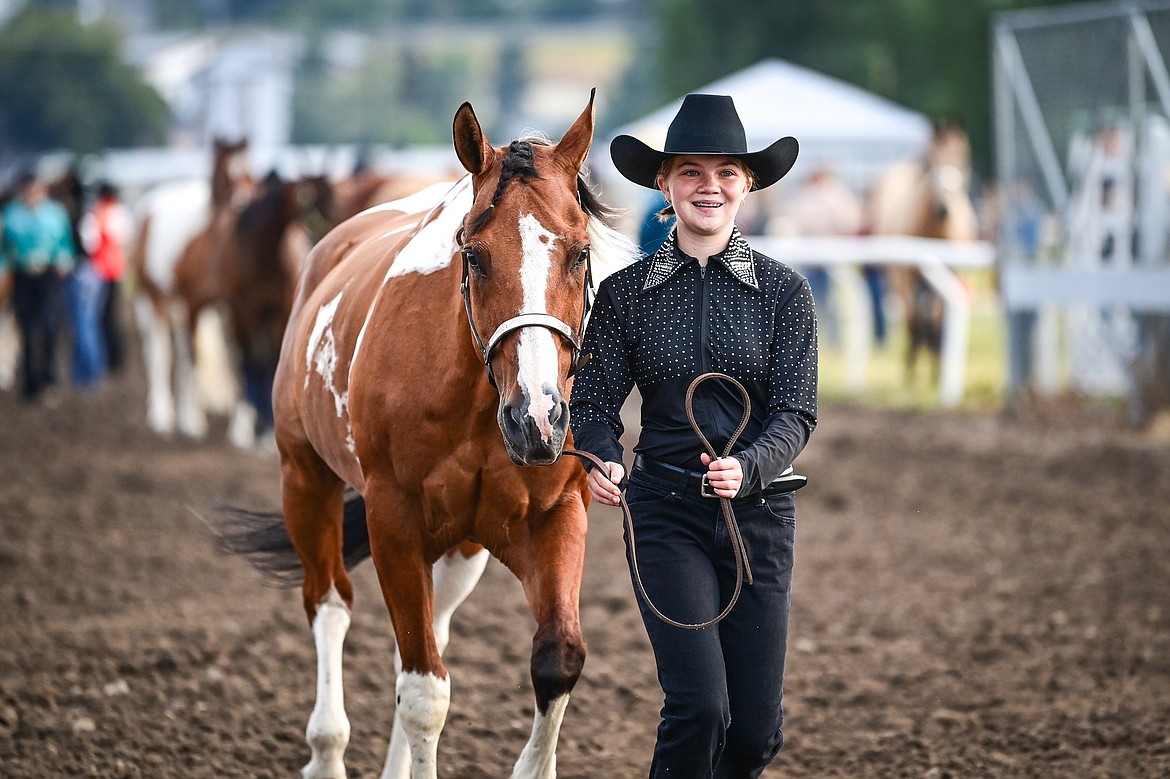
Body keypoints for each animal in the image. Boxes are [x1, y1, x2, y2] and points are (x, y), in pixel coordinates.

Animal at [219, 92, 641, 776]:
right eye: (474, 255)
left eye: (580, 253)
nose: (538, 418)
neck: (476, 403)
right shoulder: (394, 520)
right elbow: (423, 692)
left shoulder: (554, 517)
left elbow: (558, 660)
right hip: (304, 479)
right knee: (329, 605)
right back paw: (326, 750)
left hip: (461, 546)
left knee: (424, 635)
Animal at [865, 117, 982, 378]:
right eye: (933, 157)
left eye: (963, 156)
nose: (944, 208)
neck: (933, 229)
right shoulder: (905, 274)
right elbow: (912, 320)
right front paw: (910, 372)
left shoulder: (950, 272)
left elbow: (937, 320)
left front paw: (936, 369)